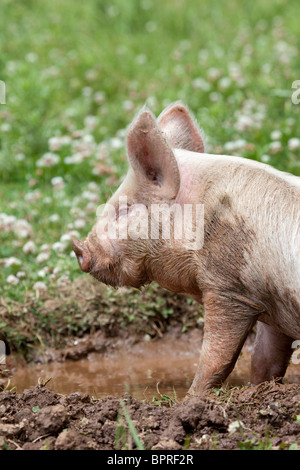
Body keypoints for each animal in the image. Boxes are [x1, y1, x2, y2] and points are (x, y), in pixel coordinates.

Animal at [72, 103, 300, 396]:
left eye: (124, 210)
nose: (79, 248)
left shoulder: (228, 288)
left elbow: (216, 358)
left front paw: (191, 399)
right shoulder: (272, 301)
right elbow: (265, 359)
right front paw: (256, 390)